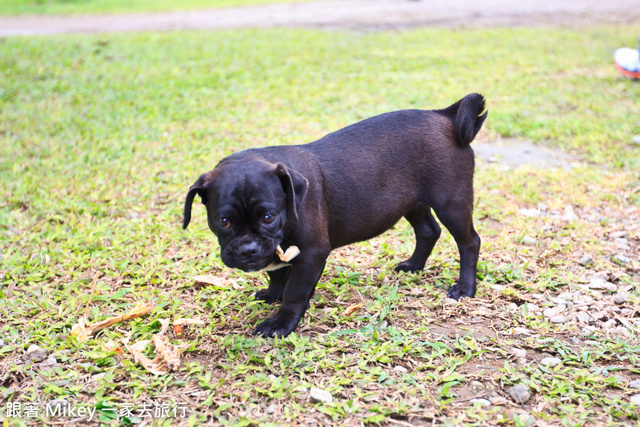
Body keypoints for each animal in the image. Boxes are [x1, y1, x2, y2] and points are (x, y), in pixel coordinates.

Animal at [182, 93, 488, 338]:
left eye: (269, 217)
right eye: (223, 222)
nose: (248, 249)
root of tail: (445, 117)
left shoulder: (311, 253)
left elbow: (295, 291)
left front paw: (281, 323)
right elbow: (278, 275)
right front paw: (272, 295)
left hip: (451, 201)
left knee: (469, 242)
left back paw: (464, 289)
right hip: (412, 203)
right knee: (428, 231)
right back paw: (413, 265)